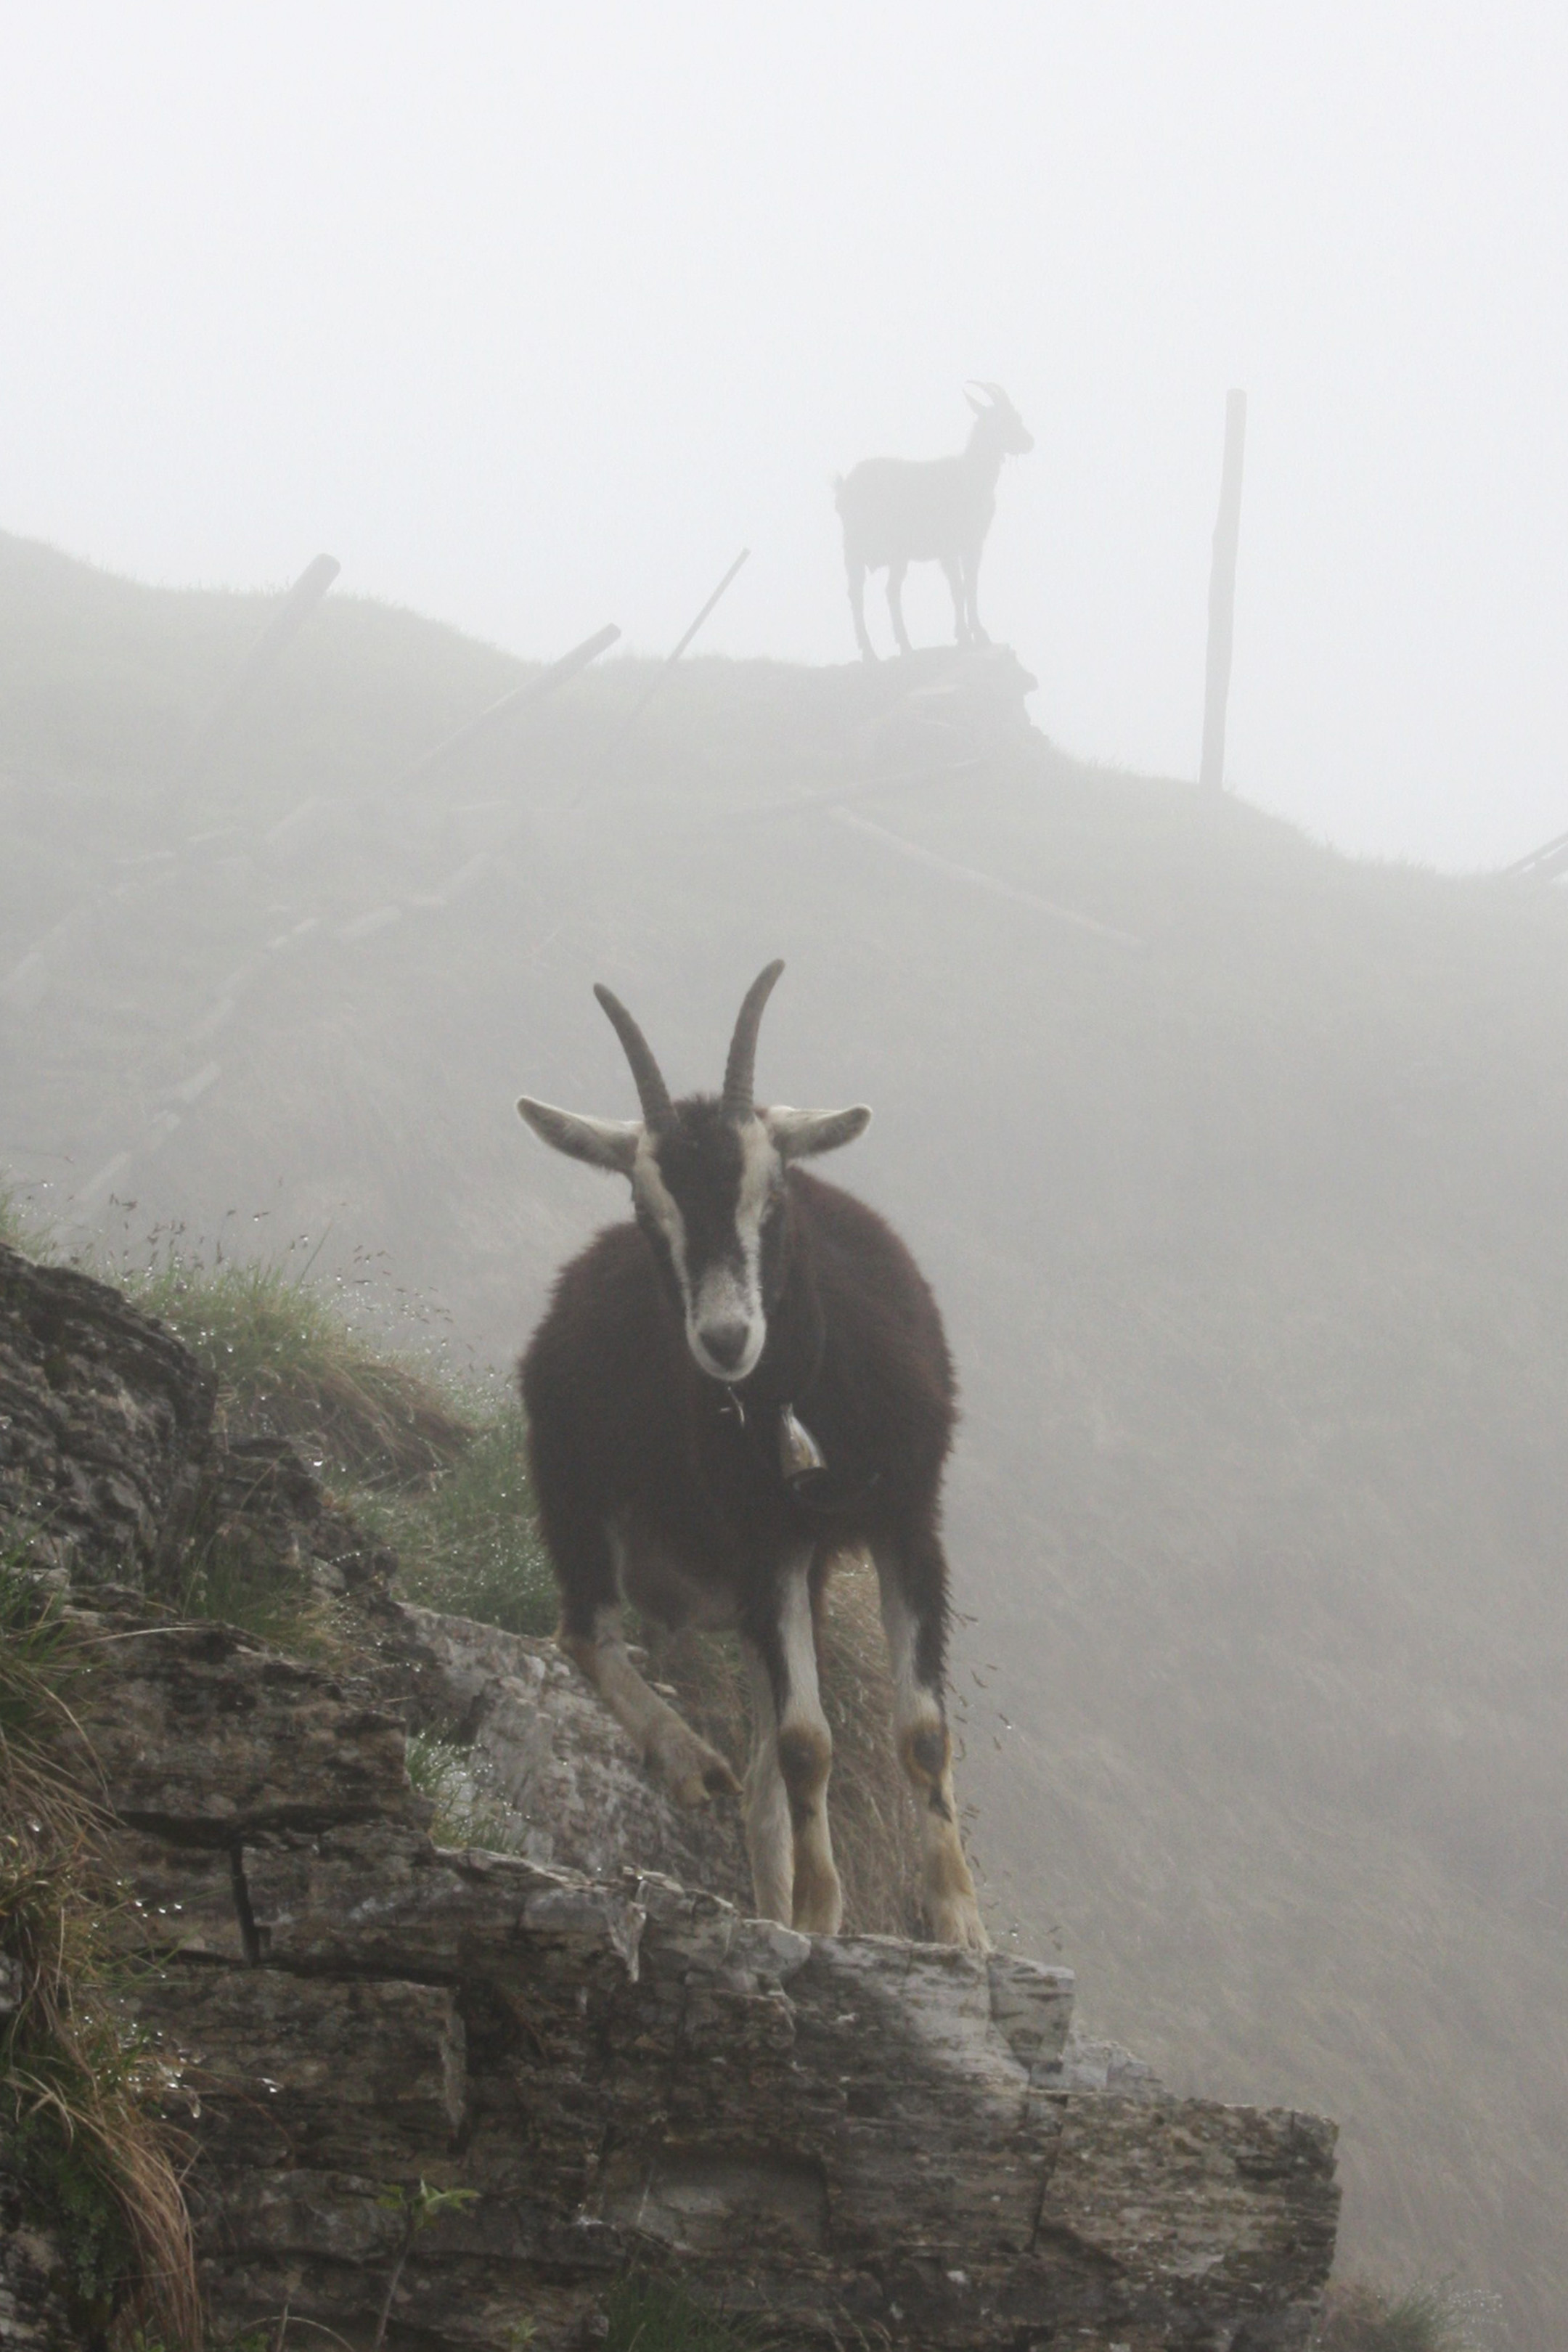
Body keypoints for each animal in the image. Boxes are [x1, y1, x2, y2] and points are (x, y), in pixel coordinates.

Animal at [841, 380, 1034, 663]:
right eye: (1005, 419)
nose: (1029, 442)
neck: (972, 476)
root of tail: (843, 488)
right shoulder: (954, 544)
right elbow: (961, 587)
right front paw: (971, 635)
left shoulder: (969, 545)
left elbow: (967, 586)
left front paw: (970, 634)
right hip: (865, 548)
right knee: (862, 594)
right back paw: (874, 651)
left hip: (879, 554)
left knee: (882, 591)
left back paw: (899, 647)